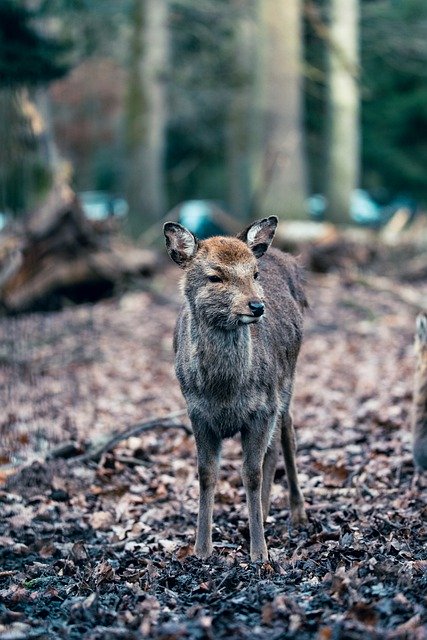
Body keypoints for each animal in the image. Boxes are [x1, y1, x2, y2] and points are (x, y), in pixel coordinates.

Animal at [164, 216, 308, 561]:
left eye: (254, 273)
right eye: (215, 276)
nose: (256, 306)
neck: (224, 391)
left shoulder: (263, 408)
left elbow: (250, 473)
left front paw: (259, 552)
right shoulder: (197, 413)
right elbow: (206, 473)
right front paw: (202, 549)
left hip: (287, 382)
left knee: (287, 437)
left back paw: (297, 513)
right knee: (274, 446)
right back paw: (267, 513)